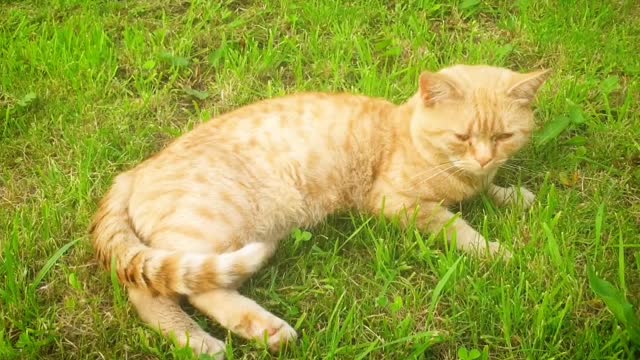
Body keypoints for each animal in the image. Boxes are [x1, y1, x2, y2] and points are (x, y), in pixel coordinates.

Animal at [90, 64, 548, 358]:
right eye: (462, 137)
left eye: (504, 137)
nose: (485, 158)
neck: (406, 133)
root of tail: (132, 172)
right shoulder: (397, 202)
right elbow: (457, 226)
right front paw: (495, 251)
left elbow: (490, 192)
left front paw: (512, 195)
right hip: (211, 227)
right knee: (160, 292)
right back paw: (209, 341)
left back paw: (260, 332)